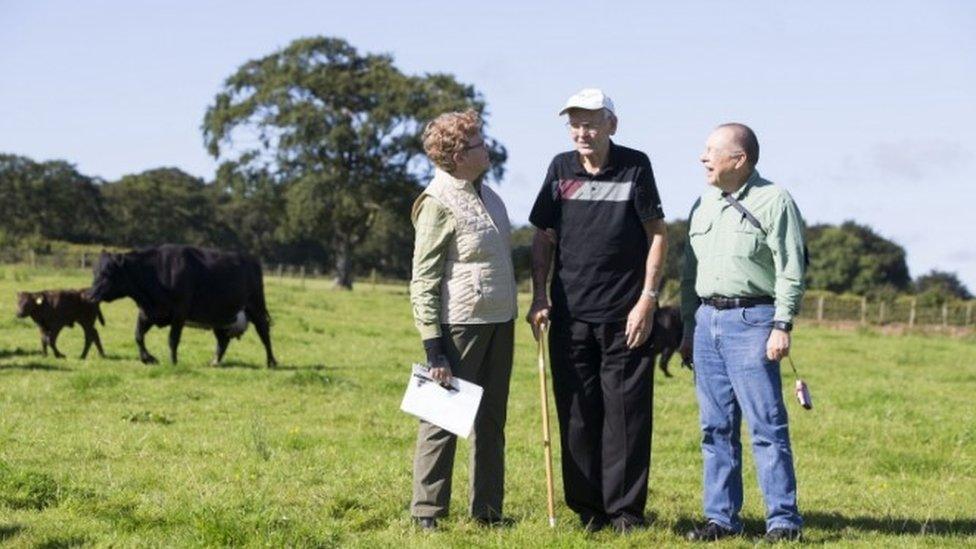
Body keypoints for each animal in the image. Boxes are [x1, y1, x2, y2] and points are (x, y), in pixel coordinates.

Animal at [87, 245, 278, 368]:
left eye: (108, 273)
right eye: (95, 272)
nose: (89, 295)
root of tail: (251, 259)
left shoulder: (179, 313)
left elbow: (172, 339)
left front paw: (173, 362)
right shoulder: (147, 313)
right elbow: (138, 336)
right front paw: (148, 359)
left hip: (256, 306)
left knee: (264, 333)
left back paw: (271, 362)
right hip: (220, 317)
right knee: (223, 340)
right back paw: (214, 362)